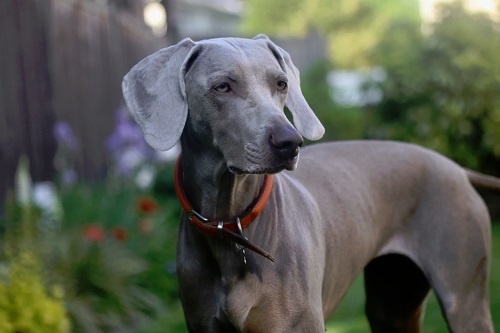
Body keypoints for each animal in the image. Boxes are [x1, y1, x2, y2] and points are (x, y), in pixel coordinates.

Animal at [120, 35, 496, 330]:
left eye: (281, 83)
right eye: (222, 86)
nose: (290, 142)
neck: (231, 221)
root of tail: (456, 168)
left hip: (462, 295)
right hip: (392, 301)